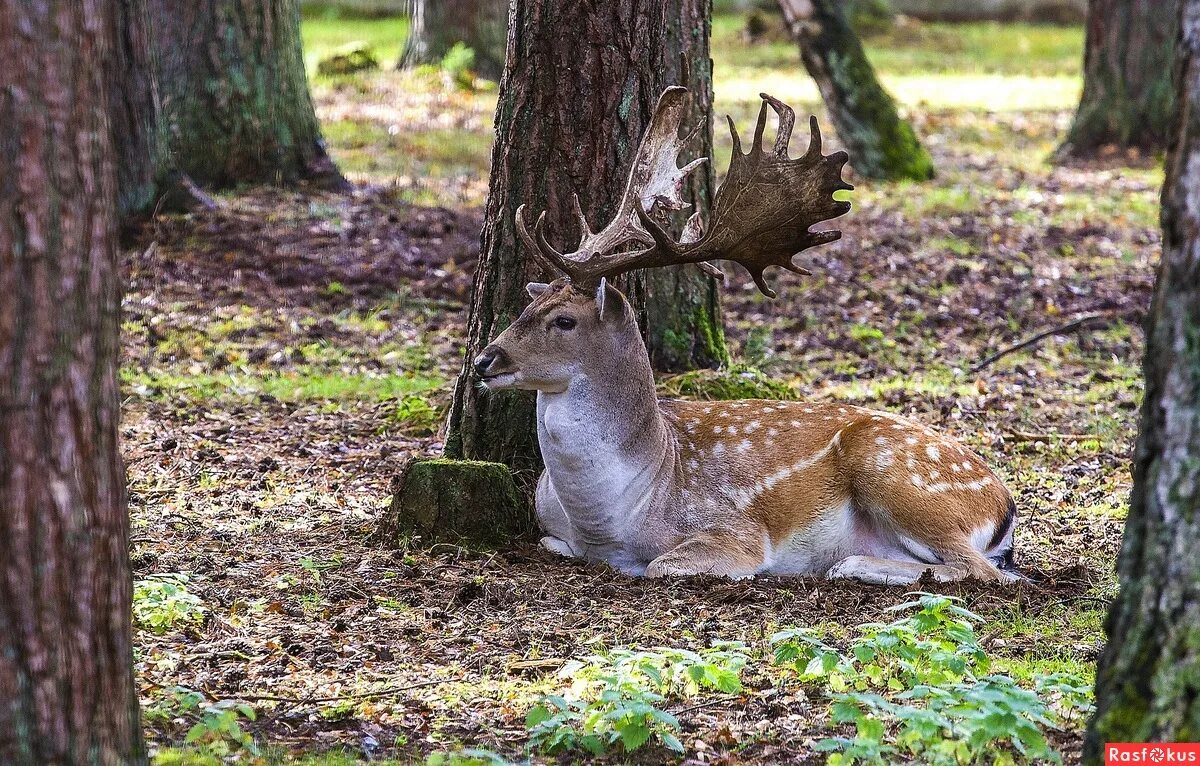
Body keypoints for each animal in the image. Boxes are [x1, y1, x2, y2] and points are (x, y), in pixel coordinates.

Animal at [472, 87, 1017, 585]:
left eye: (564, 320)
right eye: (526, 307)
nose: (484, 360)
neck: (612, 515)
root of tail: (1004, 504)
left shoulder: (736, 530)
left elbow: (662, 564)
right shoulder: (550, 528)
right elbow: (550, 543)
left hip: (901, 477)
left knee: (982, 570)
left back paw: (850, 564)